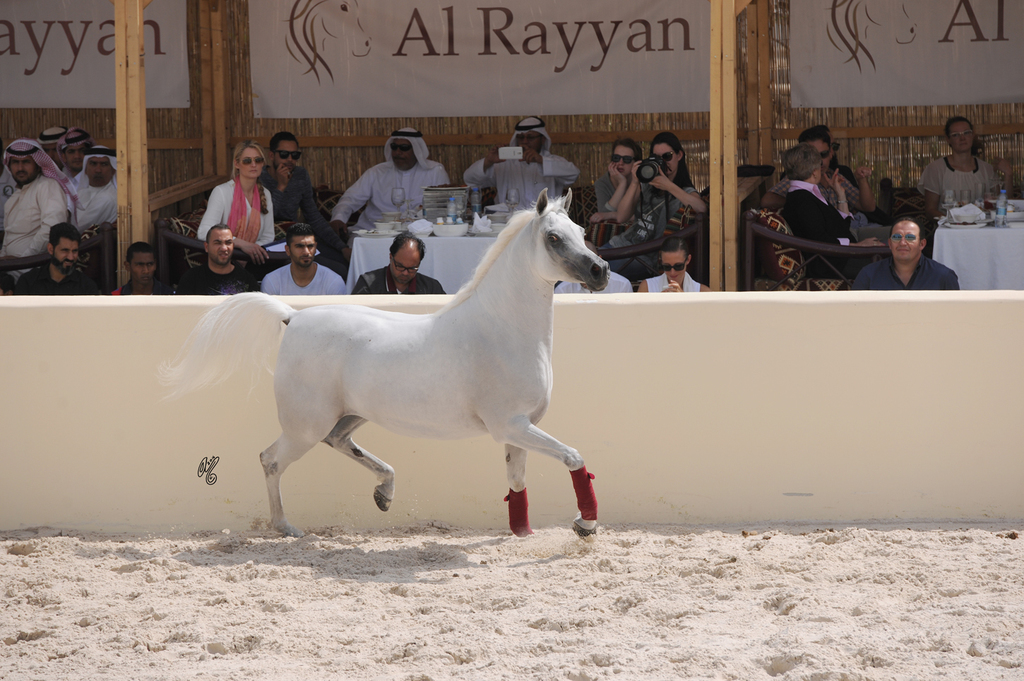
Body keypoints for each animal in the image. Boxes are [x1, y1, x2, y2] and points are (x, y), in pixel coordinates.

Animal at [160, 189, 609, 539]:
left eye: (582, 232)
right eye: (554, 237)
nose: (600, 271)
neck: (501, 330)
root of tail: (293, 317)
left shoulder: (517, 430)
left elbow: (517, 482)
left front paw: (522, 532)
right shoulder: (512, 425)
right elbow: (574, 457)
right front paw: (584, 525)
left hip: (351, 415)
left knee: (339, 442)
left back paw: (384, 494)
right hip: (305, 425)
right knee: (271, 460)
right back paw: (286, 527)